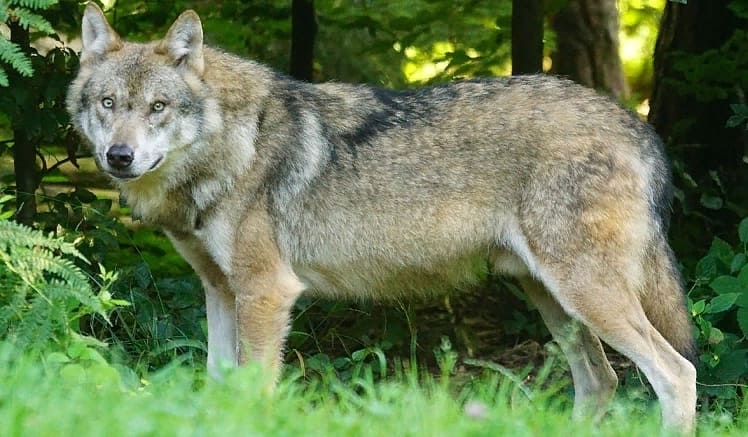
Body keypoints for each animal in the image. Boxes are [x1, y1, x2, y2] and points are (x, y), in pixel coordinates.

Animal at [67, 3, 697, 433]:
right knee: (601, 381)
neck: (232, 144)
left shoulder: (266, 292)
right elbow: (219, 387)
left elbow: (254, 392)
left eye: (158, 107)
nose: (118, 157)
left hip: (585, 295)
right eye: (108, 104)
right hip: (553, 299)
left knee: (676, 374)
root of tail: (637, 126)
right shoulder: (220, 291)